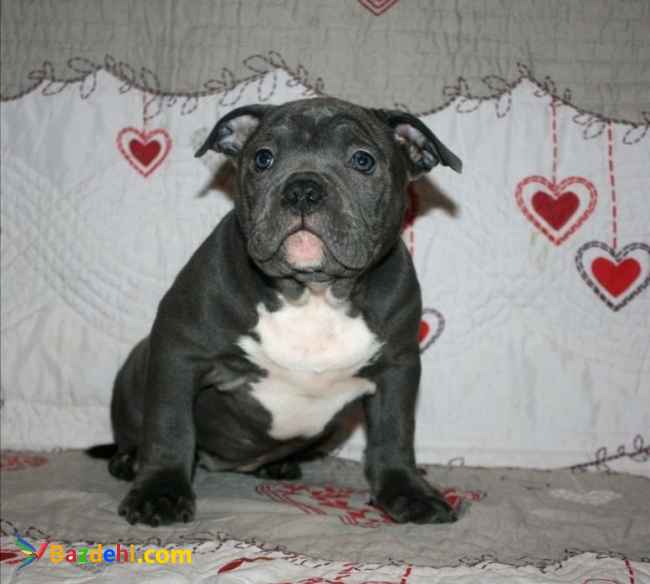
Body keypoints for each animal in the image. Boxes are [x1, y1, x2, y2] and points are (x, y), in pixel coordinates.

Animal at [90, 97, 462, 526]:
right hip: (138, 364)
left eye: (363, 160)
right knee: (140, 431)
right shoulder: (179, 349)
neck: (313, 293)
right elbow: (170, 425)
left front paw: (408, 492)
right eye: (263, 158)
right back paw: (129, 461)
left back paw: (278, 465)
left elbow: (394, 434)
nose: (303, 189)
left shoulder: (397, 368)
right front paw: (159, 493)